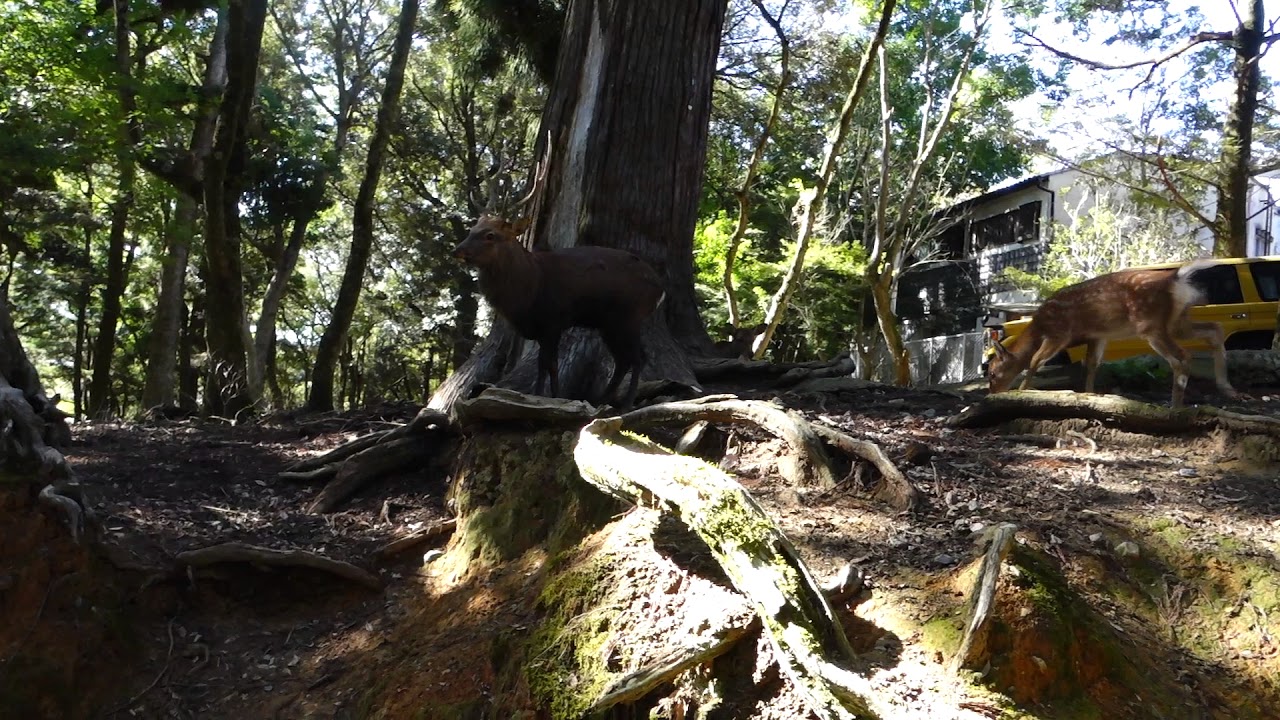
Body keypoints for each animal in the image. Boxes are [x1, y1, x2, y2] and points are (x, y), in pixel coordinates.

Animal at [987, 259, 1237, 408]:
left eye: (992, 373)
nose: (993, 393)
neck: (1039, 326)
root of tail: (1175, 280)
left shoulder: (1060, 333)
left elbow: (1036, 360)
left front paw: (1022, 392)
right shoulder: (1098, 336)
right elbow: (1091, 365)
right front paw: (1088, 395)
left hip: (1150, 324)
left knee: (1183, 356)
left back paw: (1175, 405)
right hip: (1178, 321)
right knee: (1215, 329)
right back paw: (1227, 389)